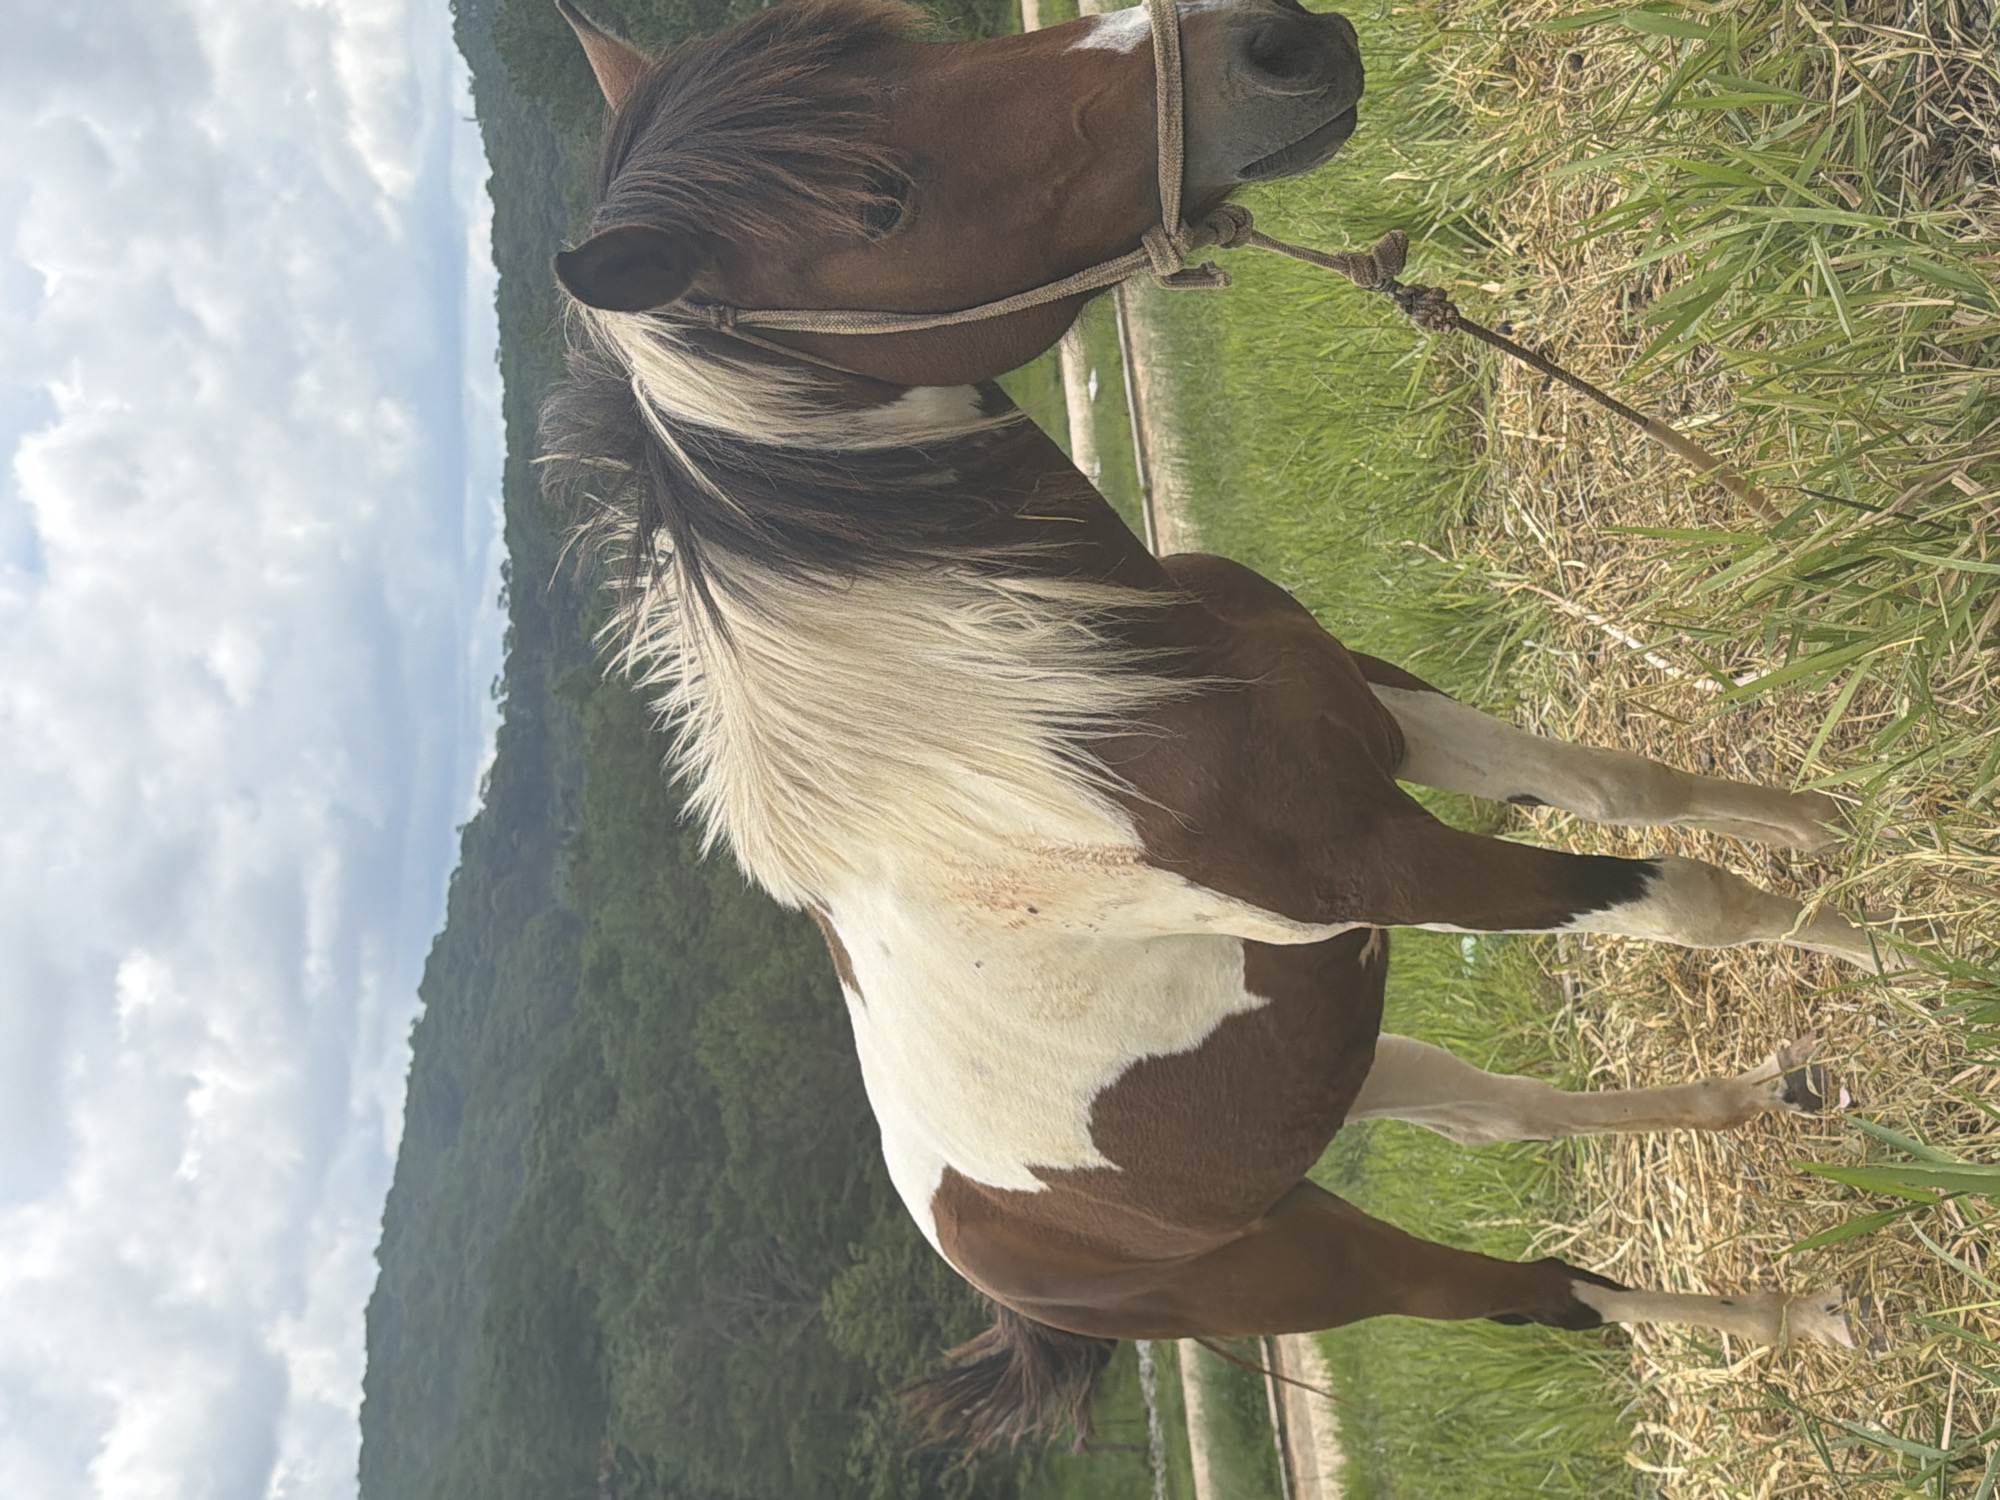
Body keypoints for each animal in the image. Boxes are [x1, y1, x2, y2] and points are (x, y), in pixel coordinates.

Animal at [543, 0, 1883, 1450]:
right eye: (876, 204)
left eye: (909, 41)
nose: (1278, 46)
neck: (1062, 705)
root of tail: (996, 1269)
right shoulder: (1392, 866)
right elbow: (1682, 896)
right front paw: (1887, 943)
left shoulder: (1380, 714)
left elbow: (1628, 793)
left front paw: (1828, 825)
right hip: (1324, 1263)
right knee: (1541, 1293)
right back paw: (1793, 1321)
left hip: (1342, 1075)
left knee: (1509, 1123)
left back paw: (1761, 1099)